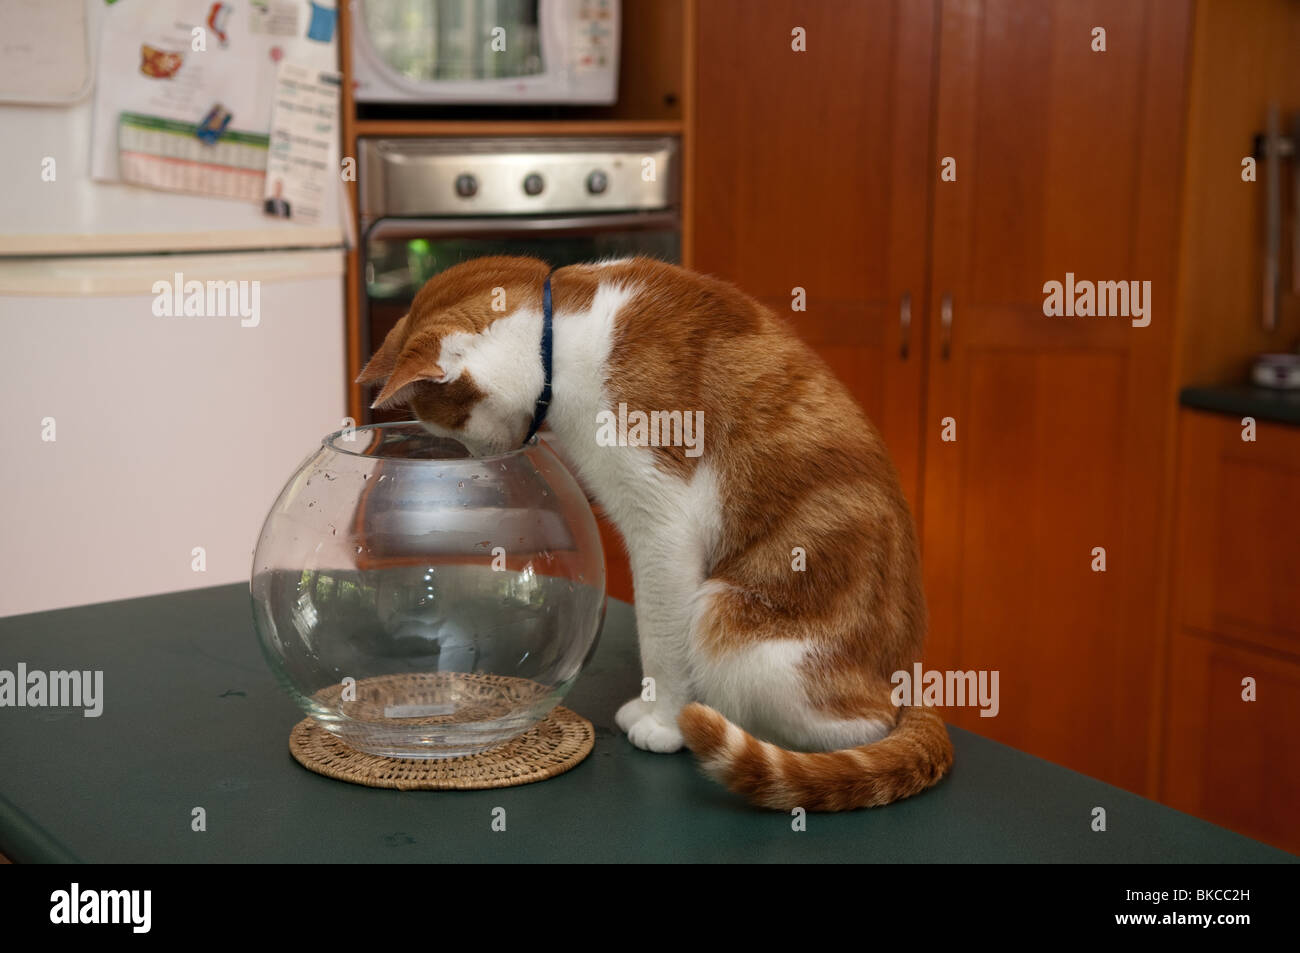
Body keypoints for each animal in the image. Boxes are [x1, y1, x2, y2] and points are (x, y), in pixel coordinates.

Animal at [361, 254, 951, 811]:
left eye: (449, 425)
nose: (477, 458)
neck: (567, 333)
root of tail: (901, 684)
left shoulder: (663, 523)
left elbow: (660, 638)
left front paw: (664, 720)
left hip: (730, 620)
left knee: (855, 728)